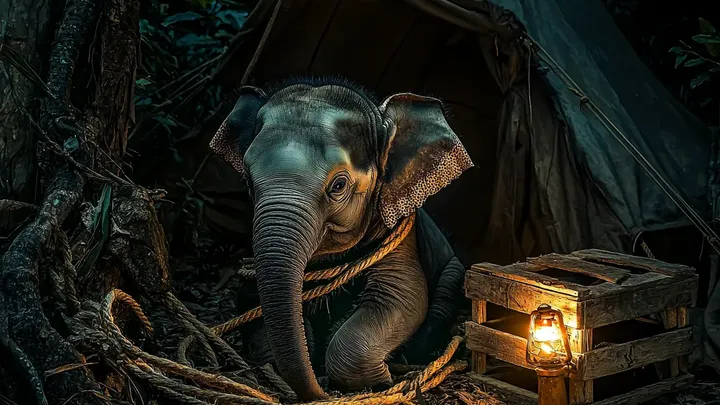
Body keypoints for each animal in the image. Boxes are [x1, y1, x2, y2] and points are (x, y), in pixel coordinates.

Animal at [210, 77, 473, 401]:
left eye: (338, 185)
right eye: (247, 178)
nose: (321, 392)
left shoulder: (402, 239)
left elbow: (405, 296)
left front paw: (381, 380)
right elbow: (249, 296)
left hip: (452, 271)